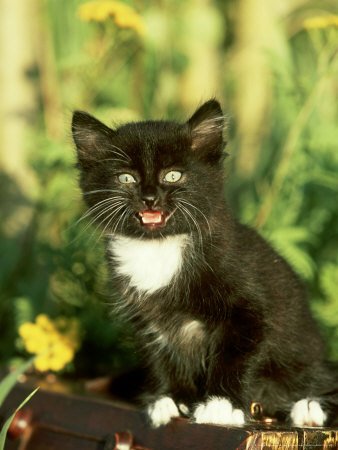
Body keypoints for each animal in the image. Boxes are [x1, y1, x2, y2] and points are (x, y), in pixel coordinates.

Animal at [72, 100, 338, 428]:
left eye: (173, 176)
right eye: (126, 178)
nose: (149, 198)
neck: (159, 248)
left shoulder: (249, 311)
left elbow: (231, 356)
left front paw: (220, 405)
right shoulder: (147, 319)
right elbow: (159, 357)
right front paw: (169, 400)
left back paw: (310, 405)